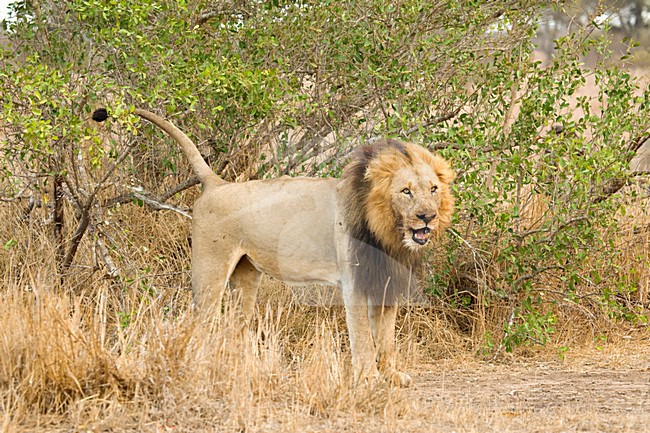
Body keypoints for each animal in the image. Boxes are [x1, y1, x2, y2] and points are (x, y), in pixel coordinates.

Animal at [92, 107, 455, 387]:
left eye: (433, 189)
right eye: (406, 191)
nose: (427, 216)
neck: (387, 231)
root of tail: (216, 183)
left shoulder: (387, 281)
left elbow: (387, 337)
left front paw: (392, 375)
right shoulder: (355, 283)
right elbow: (364, 338)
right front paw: (368, 379)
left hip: (246, 276)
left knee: (237, 325)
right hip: (209, 273)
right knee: (201, 323)